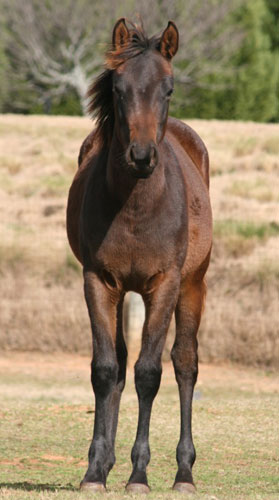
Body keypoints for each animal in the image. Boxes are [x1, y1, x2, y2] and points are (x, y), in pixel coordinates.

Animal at [67, 17, 212, 494]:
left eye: (168, 88)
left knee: (185, 363)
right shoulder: (98, 280)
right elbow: (105, 369)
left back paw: (184, 472)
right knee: (118, 362)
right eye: (118, 88)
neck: (135, 206)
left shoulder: (164, 283)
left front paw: (140, 474)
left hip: (193, 285)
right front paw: (96, 472)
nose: (142, 156)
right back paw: (106, 462)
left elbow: (149, 373)